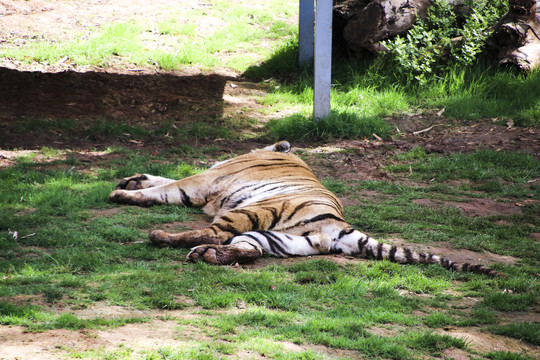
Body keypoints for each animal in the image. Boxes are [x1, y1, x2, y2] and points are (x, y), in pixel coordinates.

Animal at [108, 141, 506, 276]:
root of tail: (337, 224)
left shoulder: (205, 181)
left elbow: (169, 188)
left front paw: (123, 193)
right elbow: (160, 179)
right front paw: (132, 179)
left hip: (253, 211)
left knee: (214, 231)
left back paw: (164, 238)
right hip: (276, 238)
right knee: (248, 250)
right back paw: (207, 256)